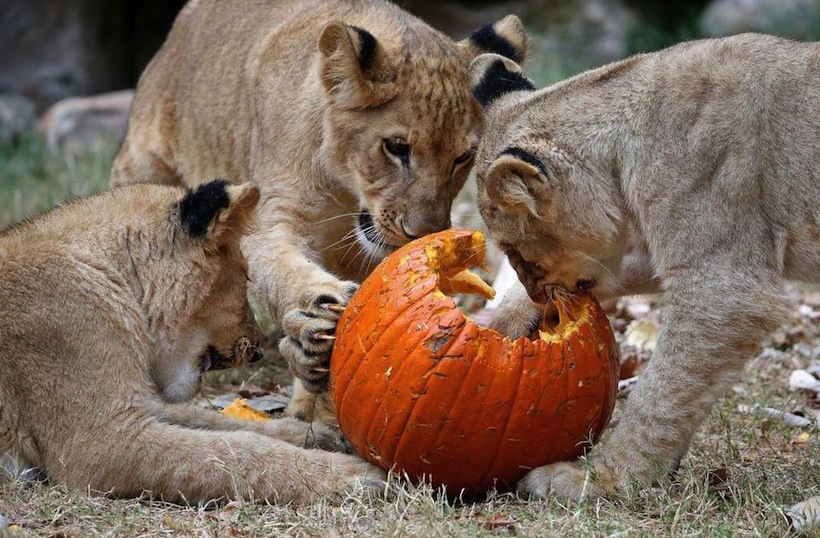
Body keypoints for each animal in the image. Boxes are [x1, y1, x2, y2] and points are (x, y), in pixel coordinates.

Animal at [0, 180, 384, 504]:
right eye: (245, 276)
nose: (258, 348)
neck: (116, 275)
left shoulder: (139, 403)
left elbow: (223, 425)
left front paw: (317, 435)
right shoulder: (101, 442)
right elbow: (231, 452)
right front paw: (350, 475)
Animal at [109, 0, 528, 422]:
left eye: (463, 157)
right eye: (396, 147)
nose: (422, 234)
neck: (344, 196)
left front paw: (313, 395)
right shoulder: (271, 217)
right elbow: (282, 269)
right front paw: (322, 303)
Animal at [469, 33, 820, 500]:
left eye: (515, 249)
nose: (538, 293)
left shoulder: (725, 286)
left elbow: (663, 392)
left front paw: (602, 478)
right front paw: (497, 323)